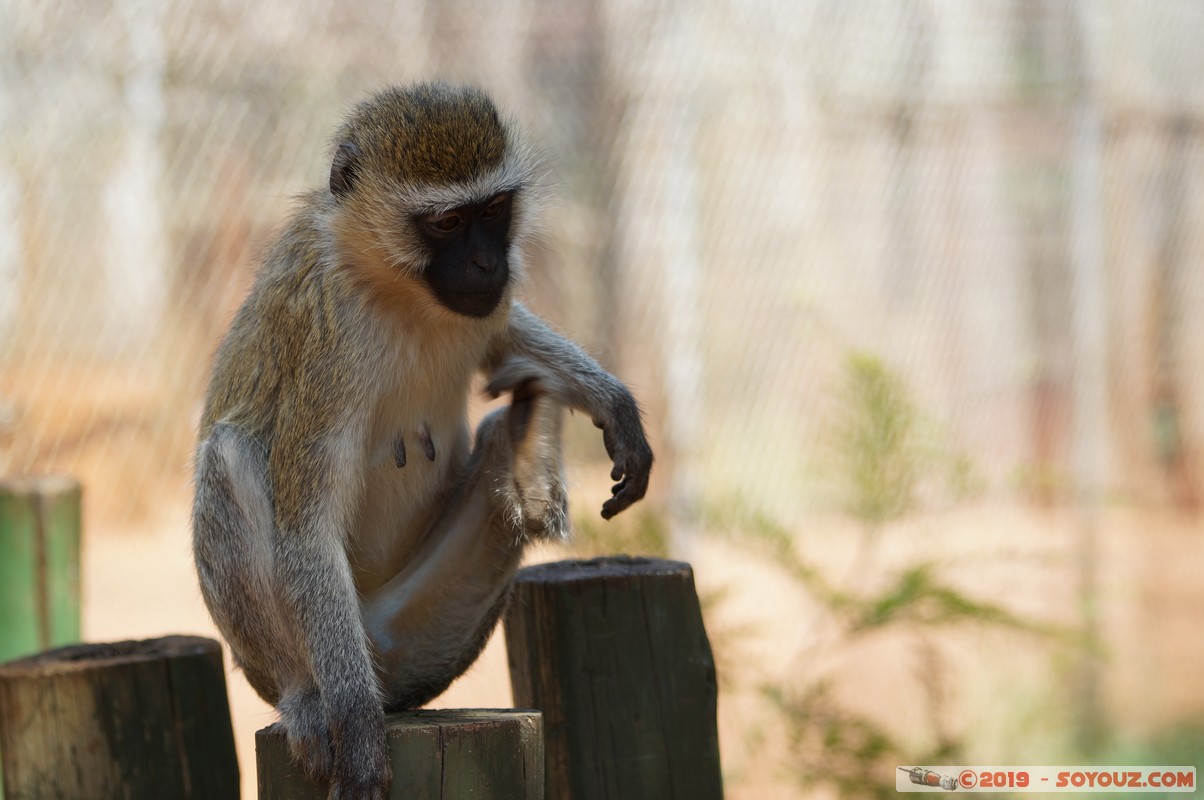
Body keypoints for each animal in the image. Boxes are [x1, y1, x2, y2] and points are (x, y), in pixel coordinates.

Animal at [191, 84, 654, 795]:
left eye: (493, 210)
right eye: (446, 224)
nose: (489, 262)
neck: (398, 286)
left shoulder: (487, 303)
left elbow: (502, 340)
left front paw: (611, 400)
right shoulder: (325, 338)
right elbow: (307, 527)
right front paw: (358, 734)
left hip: (430, 625)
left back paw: (529, 450)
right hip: (316, 649)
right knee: (228, 456)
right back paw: (310, 699)